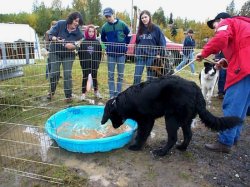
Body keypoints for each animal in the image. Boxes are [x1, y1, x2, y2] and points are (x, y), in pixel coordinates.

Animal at [100, 75, 241, 156]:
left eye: (111, 117)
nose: (115, 127)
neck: (122, 103)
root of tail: (195, 88)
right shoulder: (148, 121)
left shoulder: (146, 120)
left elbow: (141, 134)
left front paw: (136, 146)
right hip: (185, 120)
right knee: (188, 135)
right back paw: (182, 147)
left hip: (171, 118)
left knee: (173, 138)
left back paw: (162, 152)